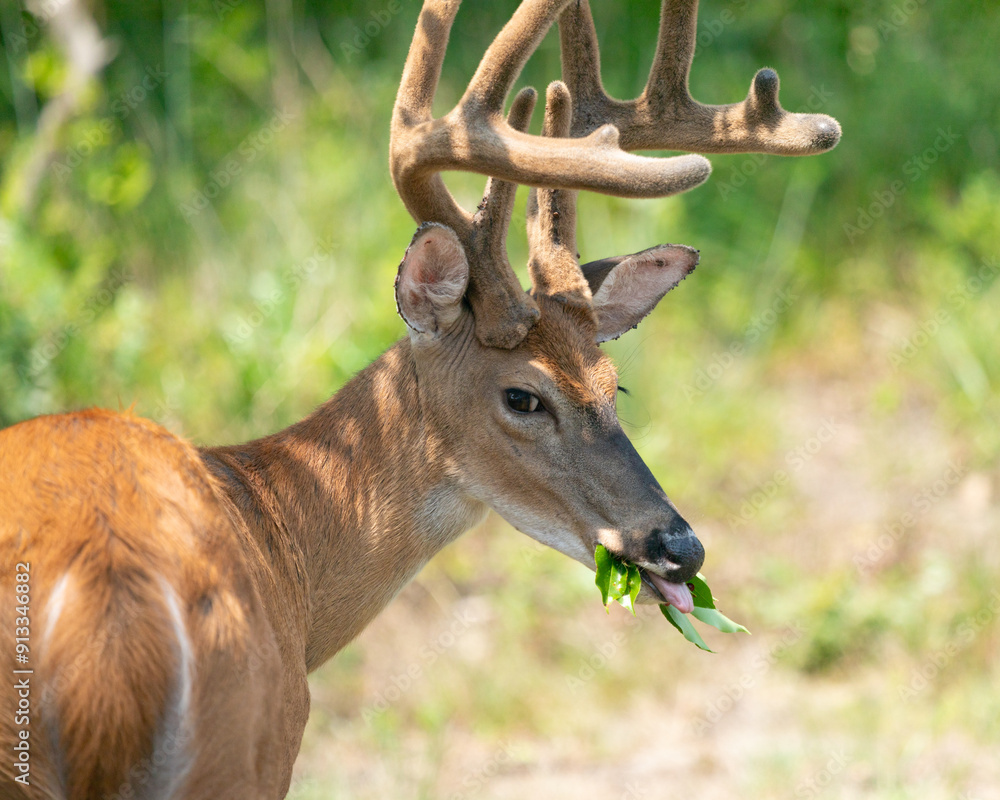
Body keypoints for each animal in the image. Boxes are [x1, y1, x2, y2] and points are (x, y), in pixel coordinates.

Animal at [0, 1, 840, 798]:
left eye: (614, 384)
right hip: (240, 743)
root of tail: (113, 622)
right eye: (523, 397)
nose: (678, 546)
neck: (277, 535)